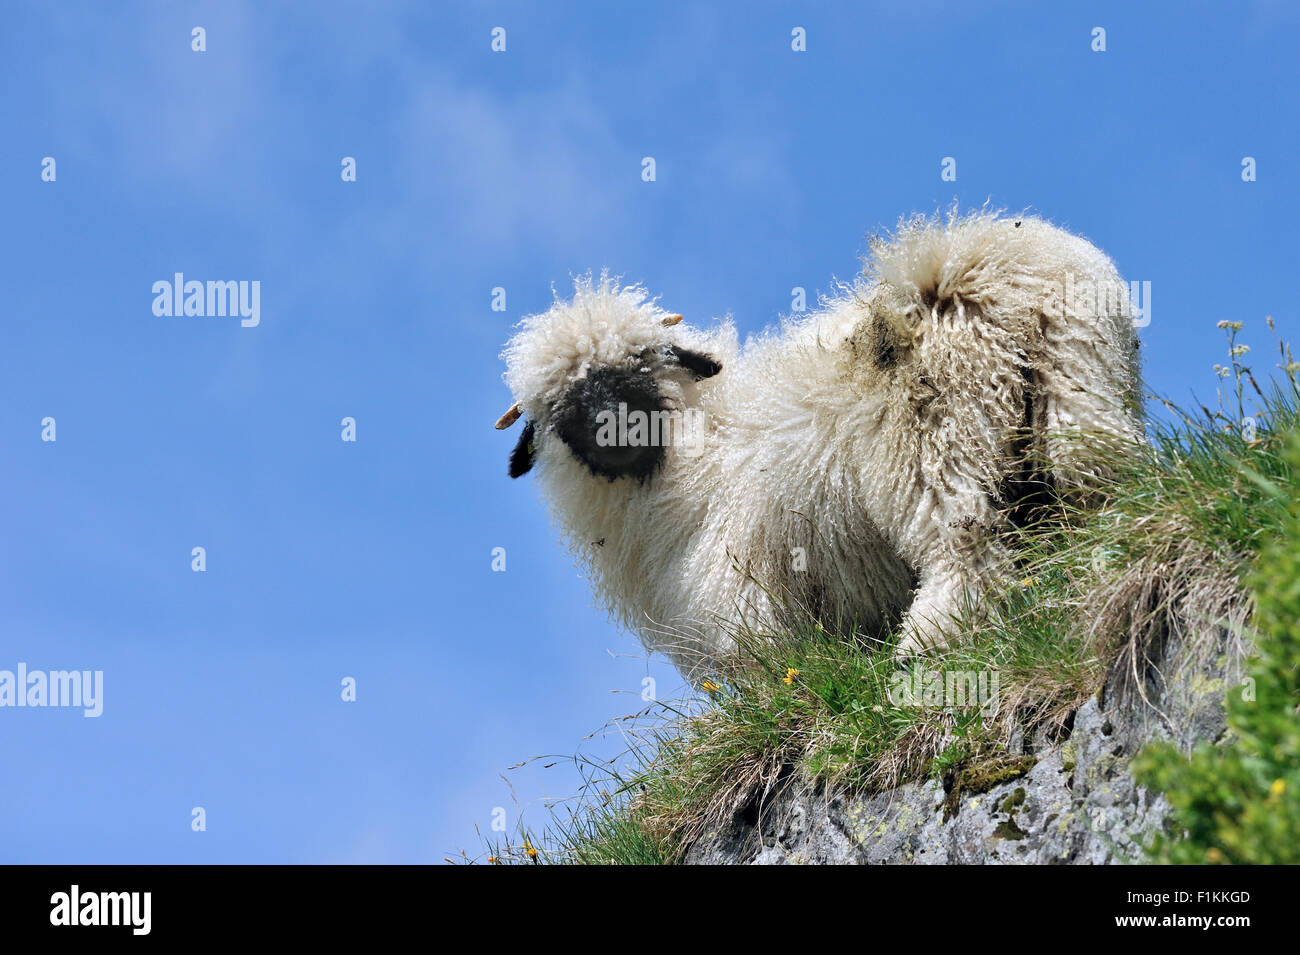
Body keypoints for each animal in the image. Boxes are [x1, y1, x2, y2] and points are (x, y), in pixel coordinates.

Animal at [491, 210, 1144, 680]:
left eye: (639, 364)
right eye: (561, 410)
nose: (613, 429)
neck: (690, 453)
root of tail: (988, 270)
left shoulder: (746, 597)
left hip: (935, 442)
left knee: (967, 544)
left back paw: (928, 641)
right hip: (1078, 383)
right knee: (1094, 481)